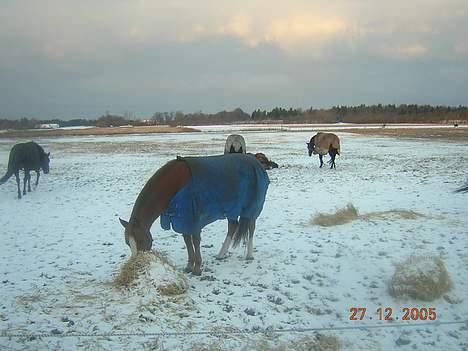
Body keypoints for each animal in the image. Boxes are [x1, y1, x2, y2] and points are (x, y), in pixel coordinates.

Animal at [119, 153, 268, 276]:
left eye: (141, 240)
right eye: (127, 243)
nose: (137, 264)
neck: (176, 184)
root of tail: (255, 161)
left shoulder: (194, 218)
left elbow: (195, 241)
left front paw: (197, 268)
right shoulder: (182, 220)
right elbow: (187, 241)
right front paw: (189, 266)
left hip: (252, 207)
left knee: (251, 227)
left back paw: (249, 255)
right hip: (232, 208)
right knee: (233, 227)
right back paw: (221, 254)